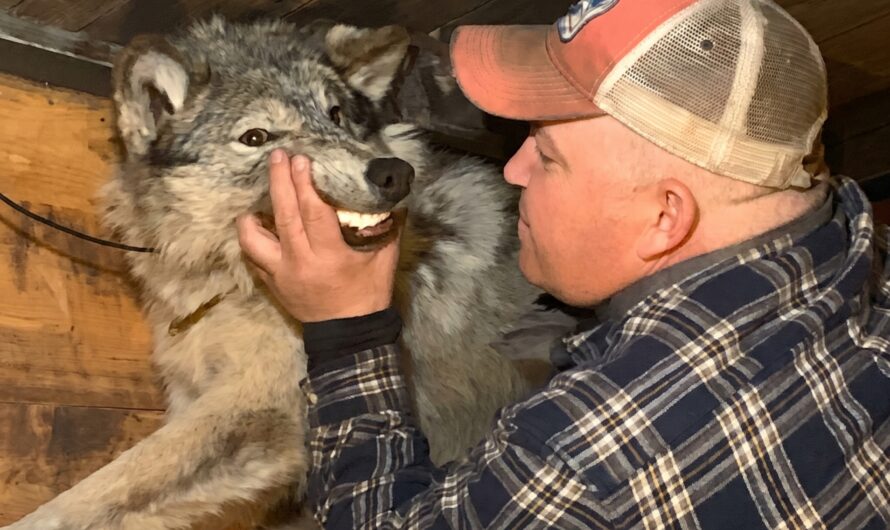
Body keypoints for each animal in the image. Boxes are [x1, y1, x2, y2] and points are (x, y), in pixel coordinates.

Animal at [5, 17, 542, 530]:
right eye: (257, 138)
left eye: (336, 116)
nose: (393, 175)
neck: (229, 286)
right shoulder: (202, 402)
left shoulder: (265, 410)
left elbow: (96, 490)